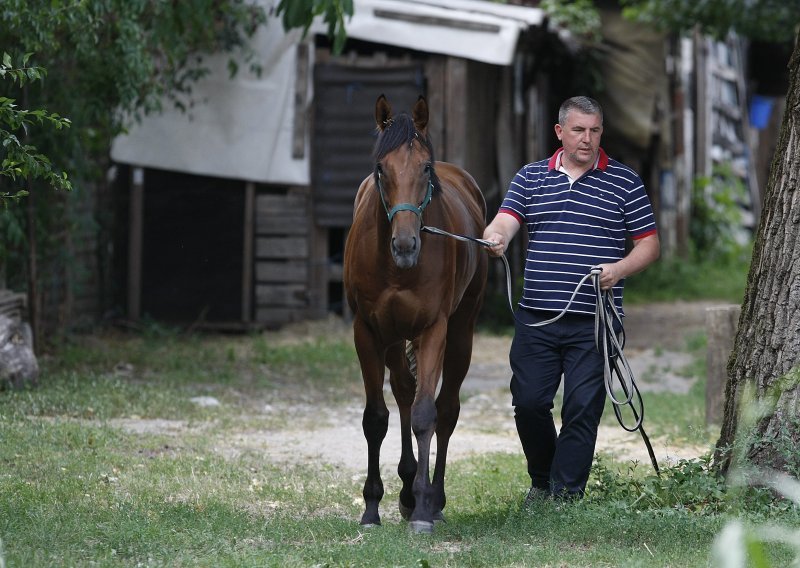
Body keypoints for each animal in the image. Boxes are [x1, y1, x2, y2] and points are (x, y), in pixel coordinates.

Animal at [342, 95, 488, 536]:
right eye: (380, 168)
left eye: (425, 167)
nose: (405, 245)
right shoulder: (367, 331)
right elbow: (376, 417)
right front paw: (372, 508)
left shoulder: (433, 329)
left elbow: (427, 415)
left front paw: (424, 509)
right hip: (393, 338)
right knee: (404, 392)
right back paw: (407, 490)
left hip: (460, 333)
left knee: (446, 409)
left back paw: (432, 498)